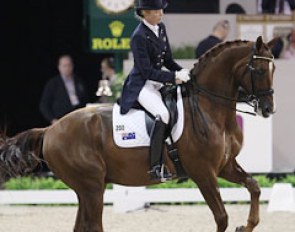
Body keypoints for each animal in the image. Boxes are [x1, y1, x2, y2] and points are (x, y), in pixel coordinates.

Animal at [0, 36, 278, 232]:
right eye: (259, 71)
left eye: (273, 70)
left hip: (86, 189)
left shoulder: (224, 166)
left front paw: (246, 225)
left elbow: (254, 188)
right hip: (92, 187)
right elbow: (221, 217)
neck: (209, 109)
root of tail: (50, 130)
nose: (267, 109)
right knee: (94, 226)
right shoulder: (203, 173)